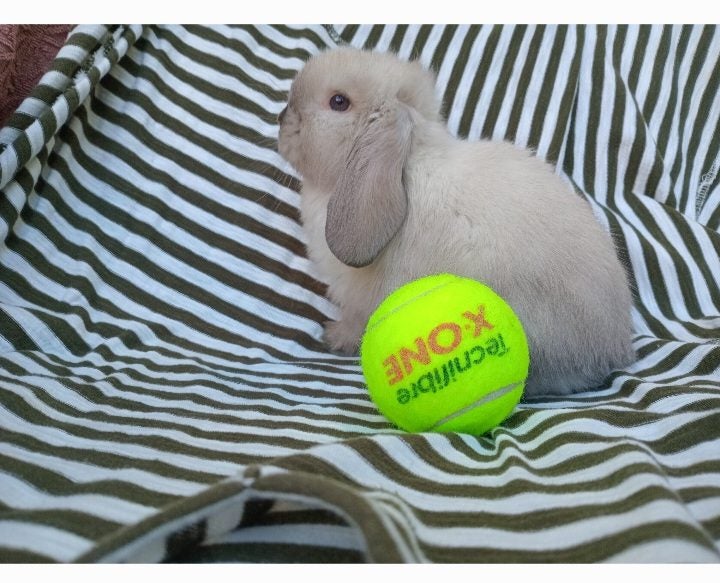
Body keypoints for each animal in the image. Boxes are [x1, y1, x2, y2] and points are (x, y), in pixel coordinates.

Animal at [277, 46, 635, 397]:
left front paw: (335, 338)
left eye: (338, 102)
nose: (282, 119)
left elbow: (354, 324)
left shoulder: (359, 303)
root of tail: (610, 349)